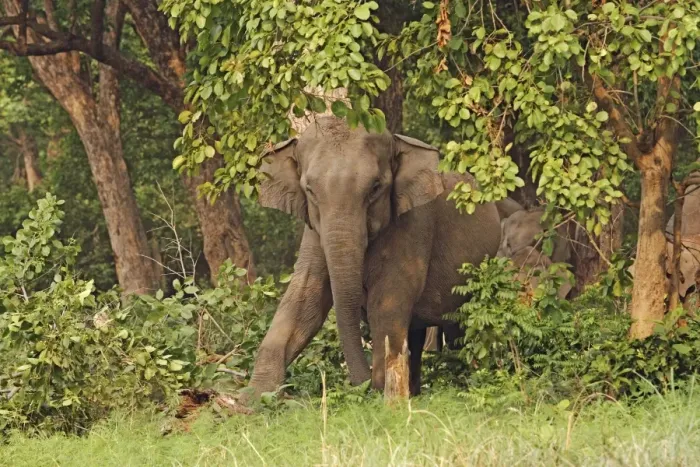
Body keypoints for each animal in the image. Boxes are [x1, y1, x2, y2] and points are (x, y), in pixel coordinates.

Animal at [243, 116, 501, 400]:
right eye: (309, 190)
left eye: (376, 187)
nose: (363, 384)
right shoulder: (313, 231)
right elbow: (304, 297)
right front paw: (253, 397)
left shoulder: (414, 222)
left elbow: (388, 299)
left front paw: (379, 390)